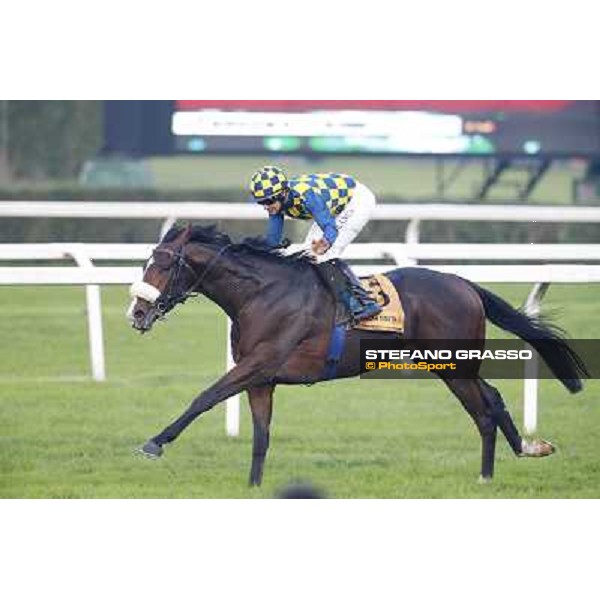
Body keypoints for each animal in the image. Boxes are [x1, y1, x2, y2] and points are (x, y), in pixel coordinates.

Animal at [127, 225, 584, 488]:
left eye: (164, 264)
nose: (136, 312)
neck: (260, 294)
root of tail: (465, 284)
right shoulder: (262, 377)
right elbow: (261, 435)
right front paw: (254, 486)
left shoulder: (258, 363)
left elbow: (204, 397)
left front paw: (154, 443)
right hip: (452, 365)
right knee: (491, 401)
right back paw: (516, 456)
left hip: (453, 364)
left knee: (485, 408)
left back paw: (489, 475)